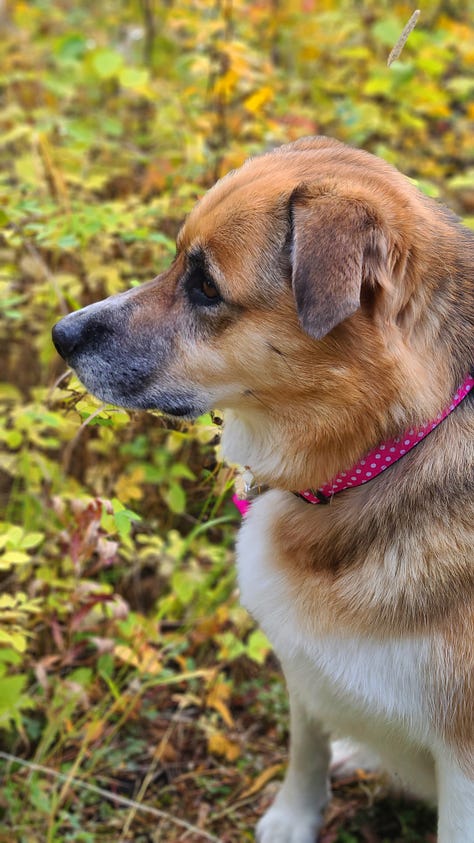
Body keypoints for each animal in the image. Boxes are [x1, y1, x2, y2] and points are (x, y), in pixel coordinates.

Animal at [53, 135, 474, 840]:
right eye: (178, 261)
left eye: (205, 287)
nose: (60, 335)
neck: (387, 452)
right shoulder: (304, 668)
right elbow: (307, 745)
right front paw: (294, 816)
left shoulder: (463, 762)